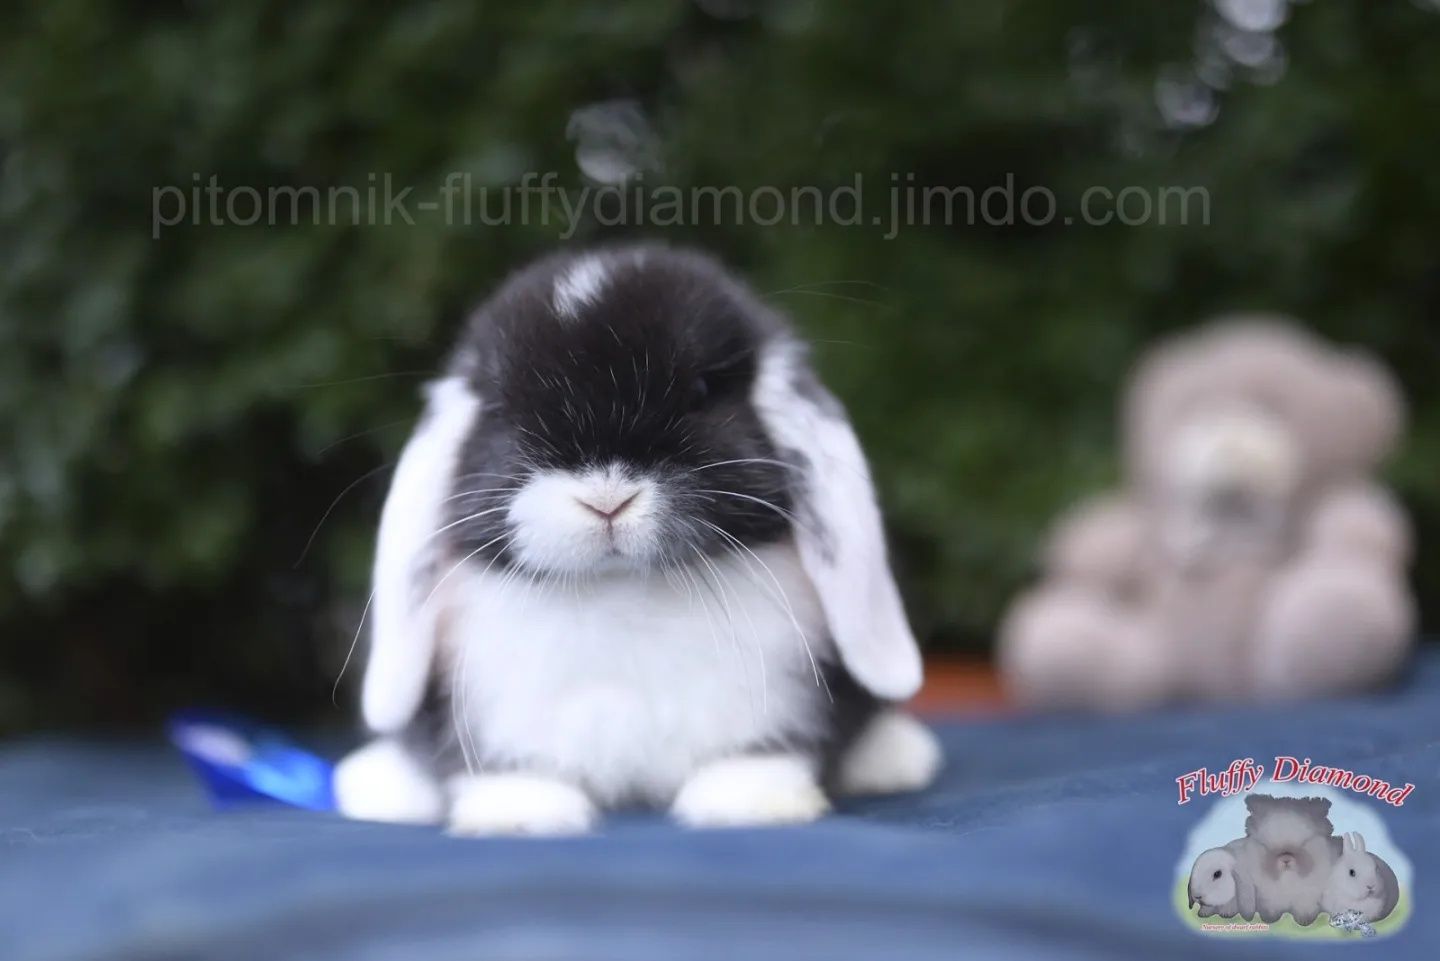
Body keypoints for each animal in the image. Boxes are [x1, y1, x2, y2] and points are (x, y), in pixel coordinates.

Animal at [336, 247, 944, 835]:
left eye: (702, 389)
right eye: (502, 410)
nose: (606, 499)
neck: (623, 591)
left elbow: (766, 756)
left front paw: (748, 802)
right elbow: (503, 772)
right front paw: (520, 815)